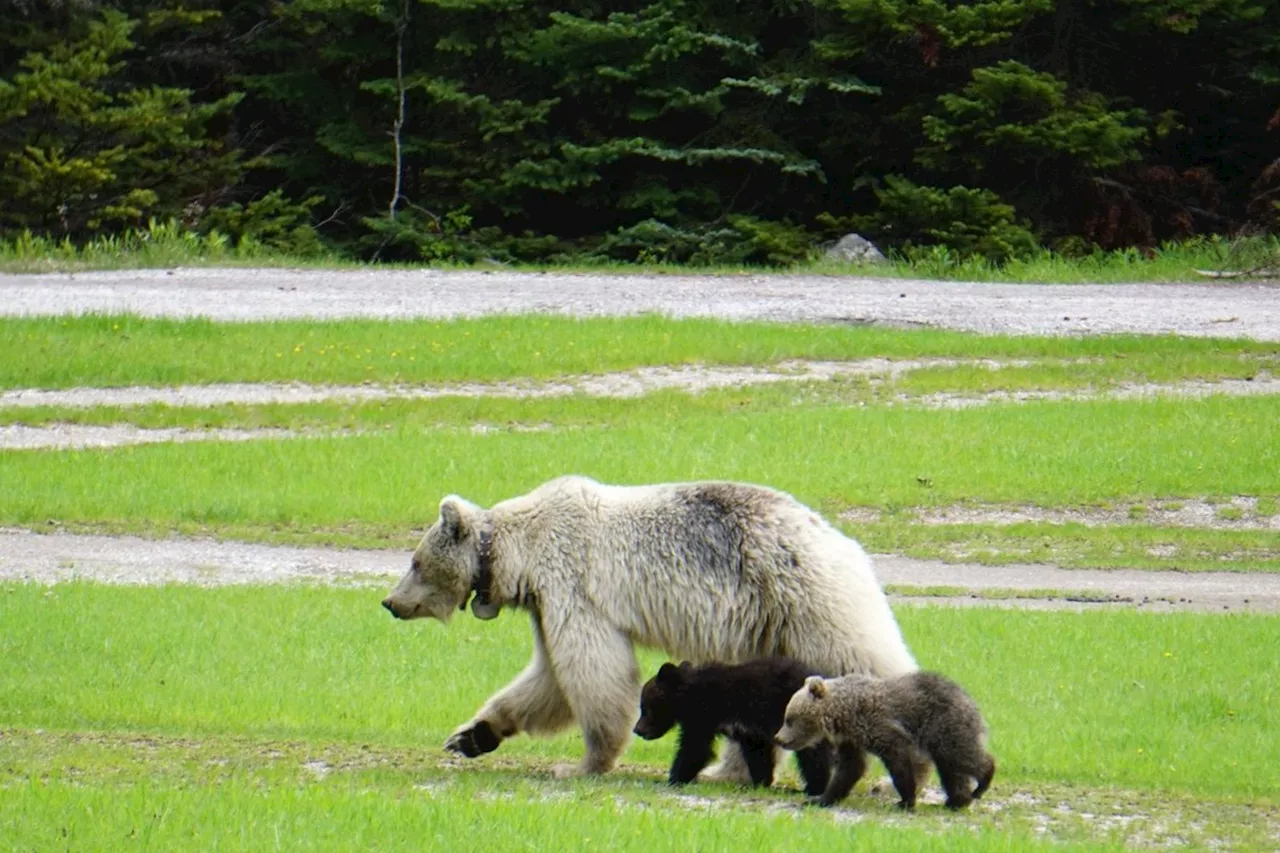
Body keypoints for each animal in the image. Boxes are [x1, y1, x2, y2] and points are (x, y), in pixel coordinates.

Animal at [373, 471, 916, 778]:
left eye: (415, 562)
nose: (390, 602)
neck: (519, 554)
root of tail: (843, 541)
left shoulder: (573, 586)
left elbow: (593, 671)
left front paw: (583, 763)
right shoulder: (544, 606)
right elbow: (547, 680)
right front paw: (471, 735)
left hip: (807, 601)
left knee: (865, 660)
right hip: (769, 628)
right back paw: (730, 771)